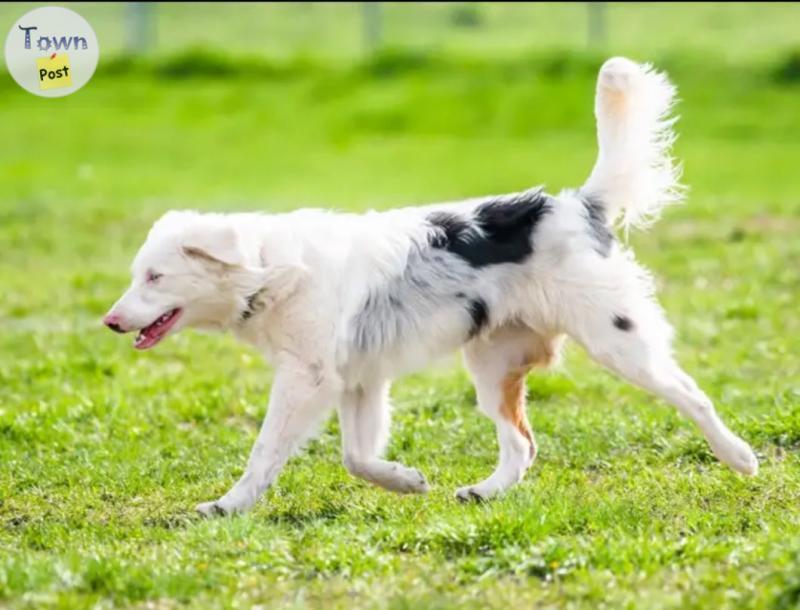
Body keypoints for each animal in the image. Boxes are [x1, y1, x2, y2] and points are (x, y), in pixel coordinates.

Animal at [104, 58, 756, 512]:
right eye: (137, 276)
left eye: (155, 276)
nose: (110, 321)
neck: (270, 267)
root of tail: (576, 205)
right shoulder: (358, 379)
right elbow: (357, 457)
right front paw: (406, 481)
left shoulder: (308, 379)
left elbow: (265, 452)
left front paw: (228, 506)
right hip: (493, 364)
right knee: (521, 445)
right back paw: (485, 492)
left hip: (619, 342)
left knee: (691, 395)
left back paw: (739, 456)